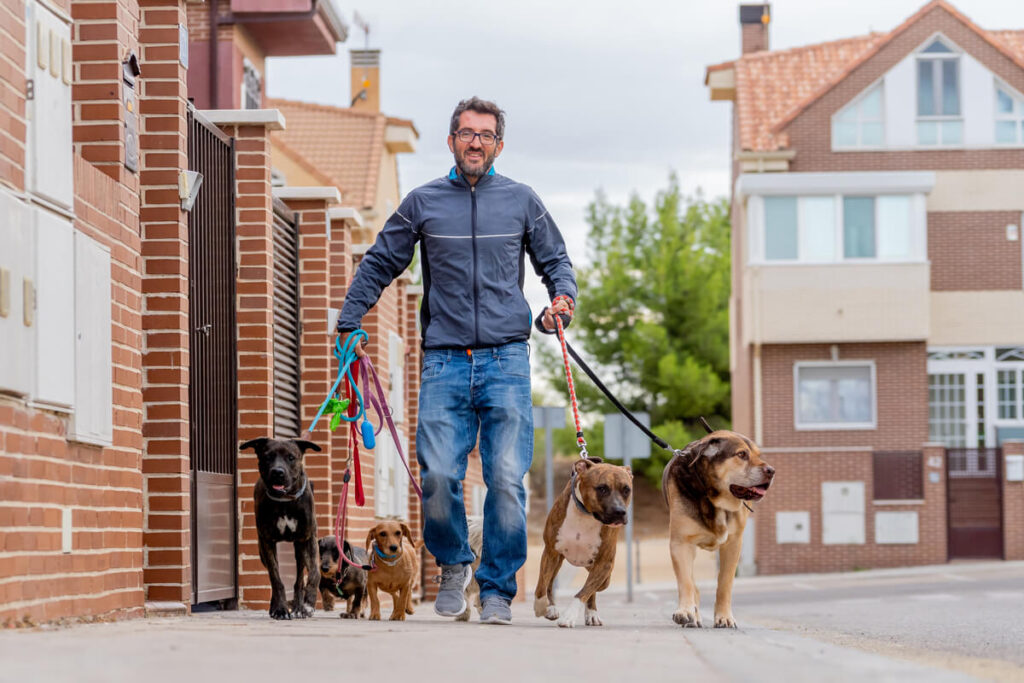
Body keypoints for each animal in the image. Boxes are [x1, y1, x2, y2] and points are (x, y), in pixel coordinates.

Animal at [239, 438, 319, 618]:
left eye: (291, 457)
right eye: (267, 457)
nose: (277, 472)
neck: (285, 502)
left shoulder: (306, 538)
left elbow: (311, 574)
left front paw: (307, 604)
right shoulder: (267, 542)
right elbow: (276, 579)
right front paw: (281, 609)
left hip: (301, 547)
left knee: (302, 577)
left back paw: (300, 606)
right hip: (262, 551)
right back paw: (275, 606)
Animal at [536, 458, 630, 630]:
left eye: (626, 490)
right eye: (602, 489)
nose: (619, 511)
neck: (585, 514)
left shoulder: (604, 564)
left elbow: (584, 592)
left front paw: (569, 616)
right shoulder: (550, 552)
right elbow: (542, 582)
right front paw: (540, 605)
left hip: (604, 577)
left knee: (592, 589)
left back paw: (592, 614)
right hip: (558, 561)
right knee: (550, 581)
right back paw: (551, 608)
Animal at [663, 428, 774, 630]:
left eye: (759, 455)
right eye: (741, 454)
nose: (771, 471)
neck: (714, 497)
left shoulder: (733, 544)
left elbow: (725, 582)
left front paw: (724, 617)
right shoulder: (680, 543)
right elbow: (686, 581)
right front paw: (685, 611)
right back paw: (694, 616)